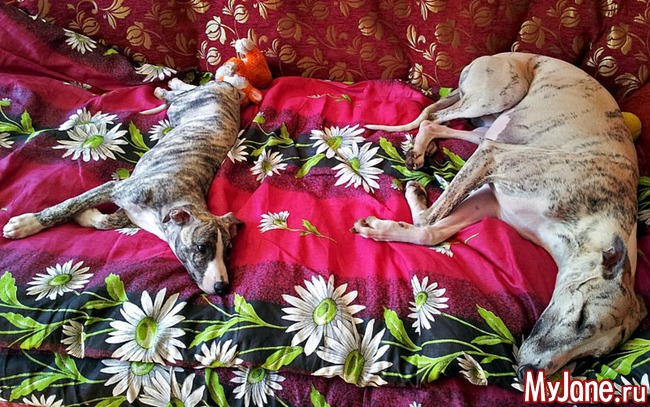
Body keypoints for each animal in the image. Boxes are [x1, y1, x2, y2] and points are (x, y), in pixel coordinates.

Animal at [3, 78, 243, 295]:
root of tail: (229, 88)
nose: (222, 288)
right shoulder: (116, 188)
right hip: (181, 107)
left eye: (229, 251)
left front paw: (85, 215)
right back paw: (166, 87)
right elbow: (66, 206)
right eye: (201, 247)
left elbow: (104, 222)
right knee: (180, 94)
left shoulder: (128, 213)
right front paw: (27, 223)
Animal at [353, 52, 647, 378]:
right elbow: (428, 218)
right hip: (501, 95)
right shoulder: (493, 159)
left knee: (438, 125)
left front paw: (383, 226)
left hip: (486, 129)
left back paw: (425, 148)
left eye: (589, 357)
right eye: (582, 317)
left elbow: (431, 230)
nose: (528, 371)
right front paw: (414, 197)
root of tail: (497, 56)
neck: (599, 222)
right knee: (432, 119)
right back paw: (417, 152)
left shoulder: (489, 201)